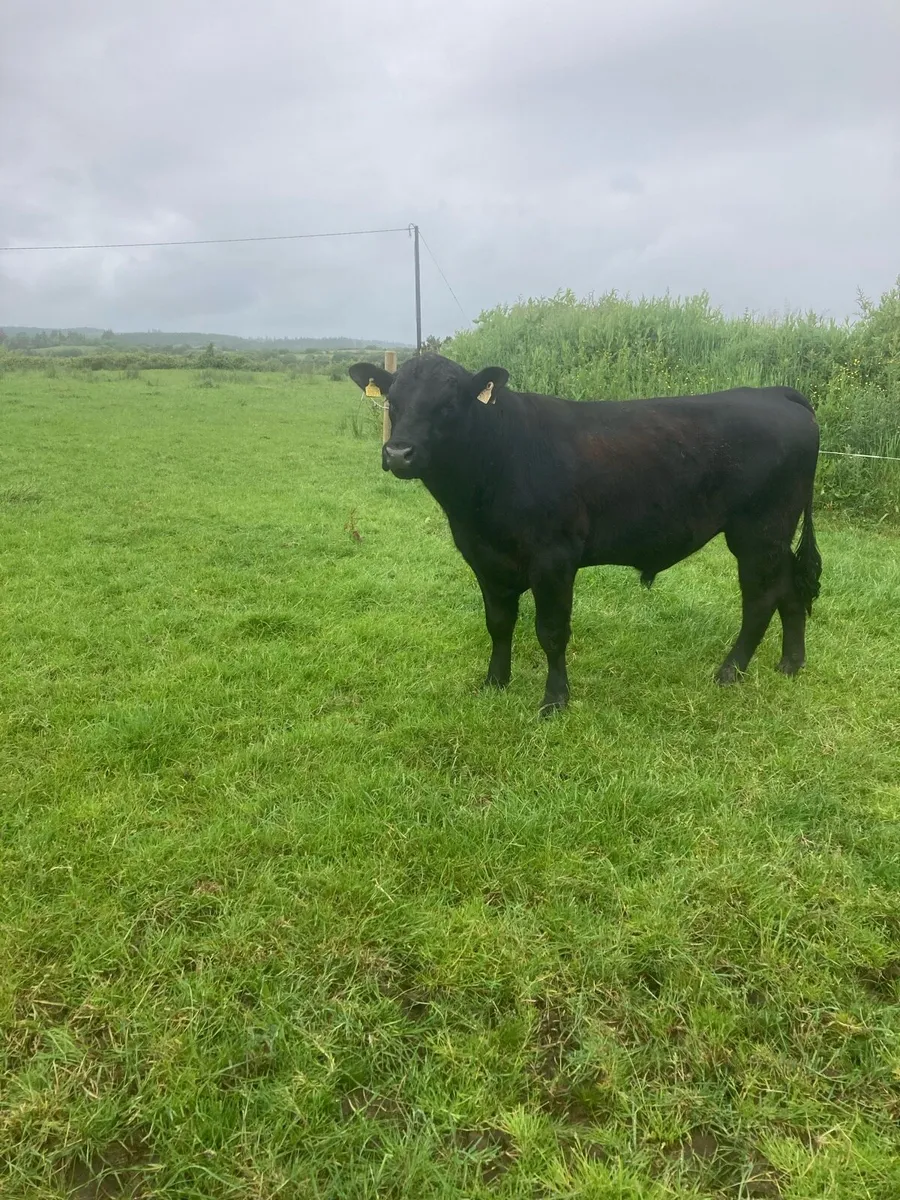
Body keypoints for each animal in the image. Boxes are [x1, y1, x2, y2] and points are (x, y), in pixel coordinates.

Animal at [349, 353, 822, 715]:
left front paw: (554, 701)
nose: (398, 453)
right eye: (393, 401)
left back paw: (730, 672)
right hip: (774, 536)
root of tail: (773, 392)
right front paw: (494, 683)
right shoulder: (483, 556)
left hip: (759, 531)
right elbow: (498, 623)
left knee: (760, 600)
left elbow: (551, 631)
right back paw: (790, 664)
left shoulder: (554, 558)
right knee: (789, 590)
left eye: (449, 403)